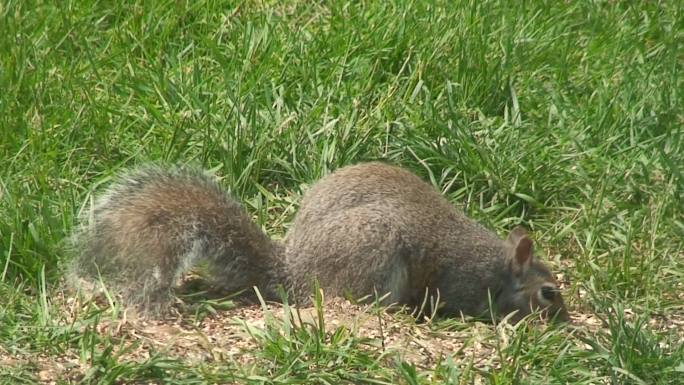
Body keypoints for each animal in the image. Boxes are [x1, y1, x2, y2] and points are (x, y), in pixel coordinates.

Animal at [68, 160, 572, 322]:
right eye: (549, 293)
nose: (565, 322)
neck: (499, 267)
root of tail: (294, 270)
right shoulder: (464, 281)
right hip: (373, 252)